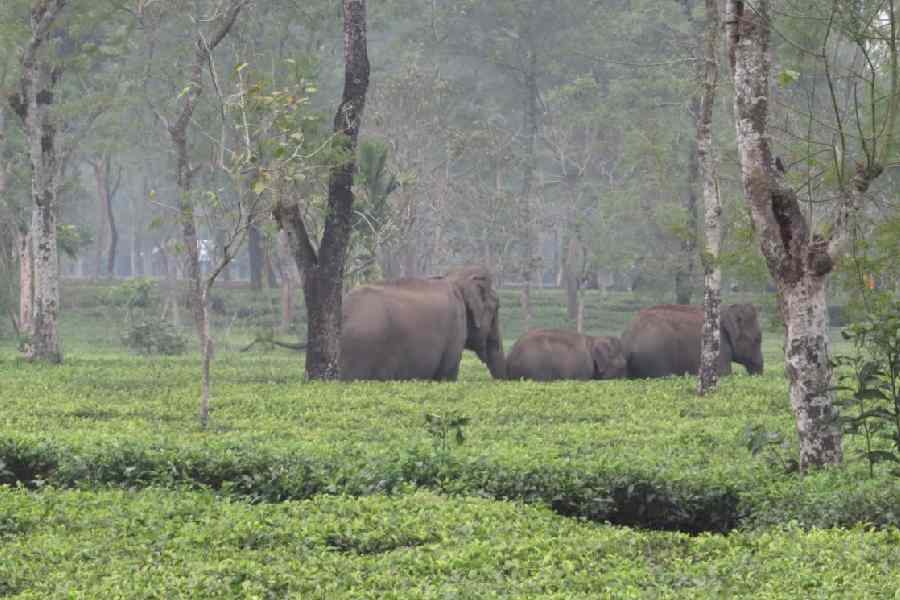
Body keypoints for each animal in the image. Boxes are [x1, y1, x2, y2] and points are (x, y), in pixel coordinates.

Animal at [621, 303, 764, 379]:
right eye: (757, 339)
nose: (758, 374)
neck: (725, 309)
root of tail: (627, 340)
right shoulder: (718, 347)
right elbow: (723, 374)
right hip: (655, 358)